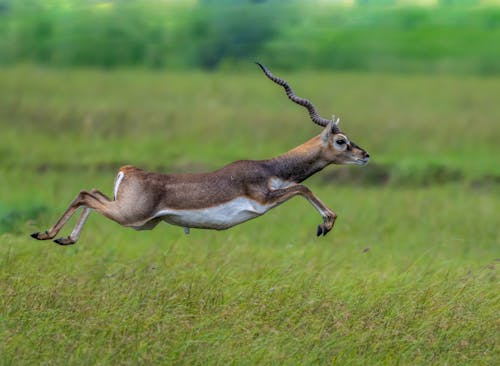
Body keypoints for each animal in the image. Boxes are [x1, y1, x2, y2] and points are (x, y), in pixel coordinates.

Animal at [29, 63, 370, 246]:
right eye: (341, 140)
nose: (365, 155)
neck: (270, 168)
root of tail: (128, 170)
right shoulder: (264, 200)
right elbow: (304, 187)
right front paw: (325, 225)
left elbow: (302, 188)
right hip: (130, 216)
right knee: (85, 194)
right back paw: (46, 233)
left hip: (138, 221)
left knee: (91, 192)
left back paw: (62, 238)